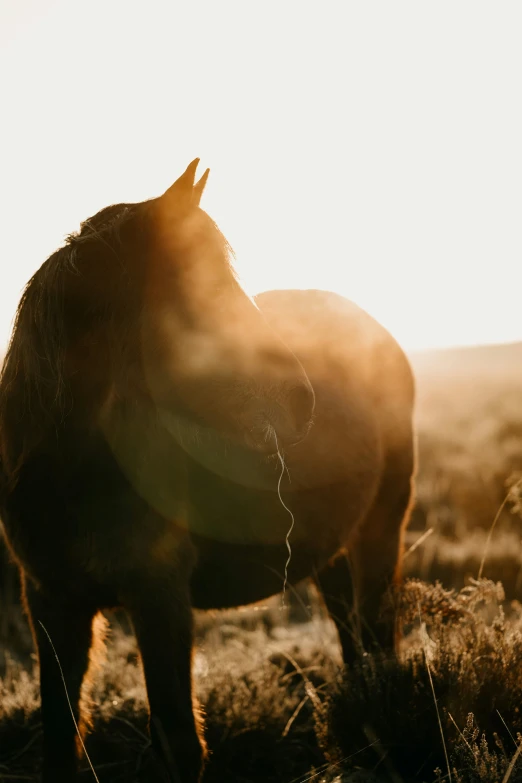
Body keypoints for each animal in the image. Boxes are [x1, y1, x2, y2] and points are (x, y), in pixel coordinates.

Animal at [0, 161, 414, 783]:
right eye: (202, 288)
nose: (301, 401)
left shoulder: (160, 595)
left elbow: (177, 741)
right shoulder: (53, 602)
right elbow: (59, 737)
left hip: (381, 528)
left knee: (378, 633)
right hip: (333, 548)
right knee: (350, 632)